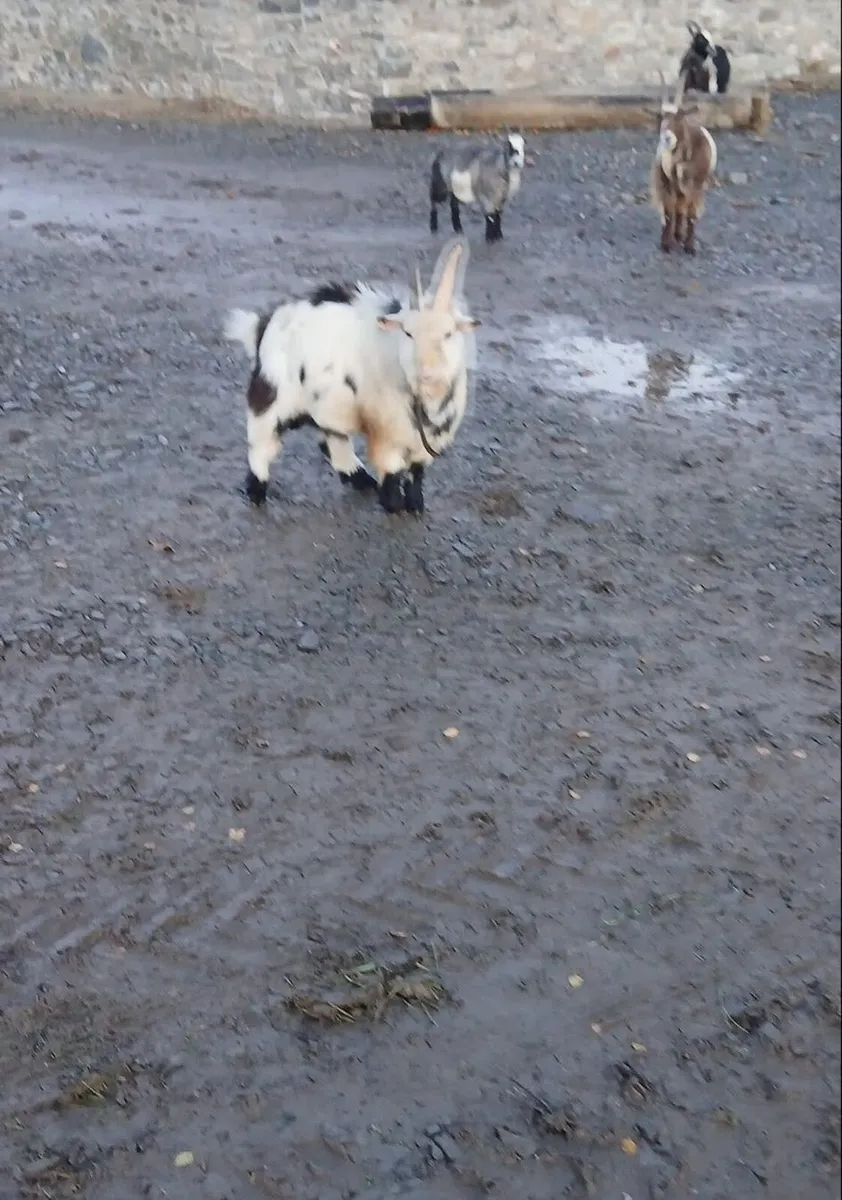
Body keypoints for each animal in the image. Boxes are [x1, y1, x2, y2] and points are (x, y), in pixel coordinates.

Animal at [222, 238, 480, 517]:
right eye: (408, 333)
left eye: (449, 334)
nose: (426, 370)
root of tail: (265, 323)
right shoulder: (386, 435)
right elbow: (392, 471)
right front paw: (393, 506)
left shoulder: (423, 443)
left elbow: (416, 473)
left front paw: (415, 506)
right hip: (272, 396)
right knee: (261, 444)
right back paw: (257, 492)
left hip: (327, 402)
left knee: (333, 441)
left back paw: (361, 479)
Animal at [650, 69, 717, 256]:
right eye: (660, 117)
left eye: (680, 116)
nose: (667, 138)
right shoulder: (666, 181)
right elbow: (668, 212)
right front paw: (666, 244)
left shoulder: (696, 184)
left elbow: (691, 215)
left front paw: (690, 247)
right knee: (677, 207)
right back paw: (676, 235)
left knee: (683, 207)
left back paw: (680, 236)